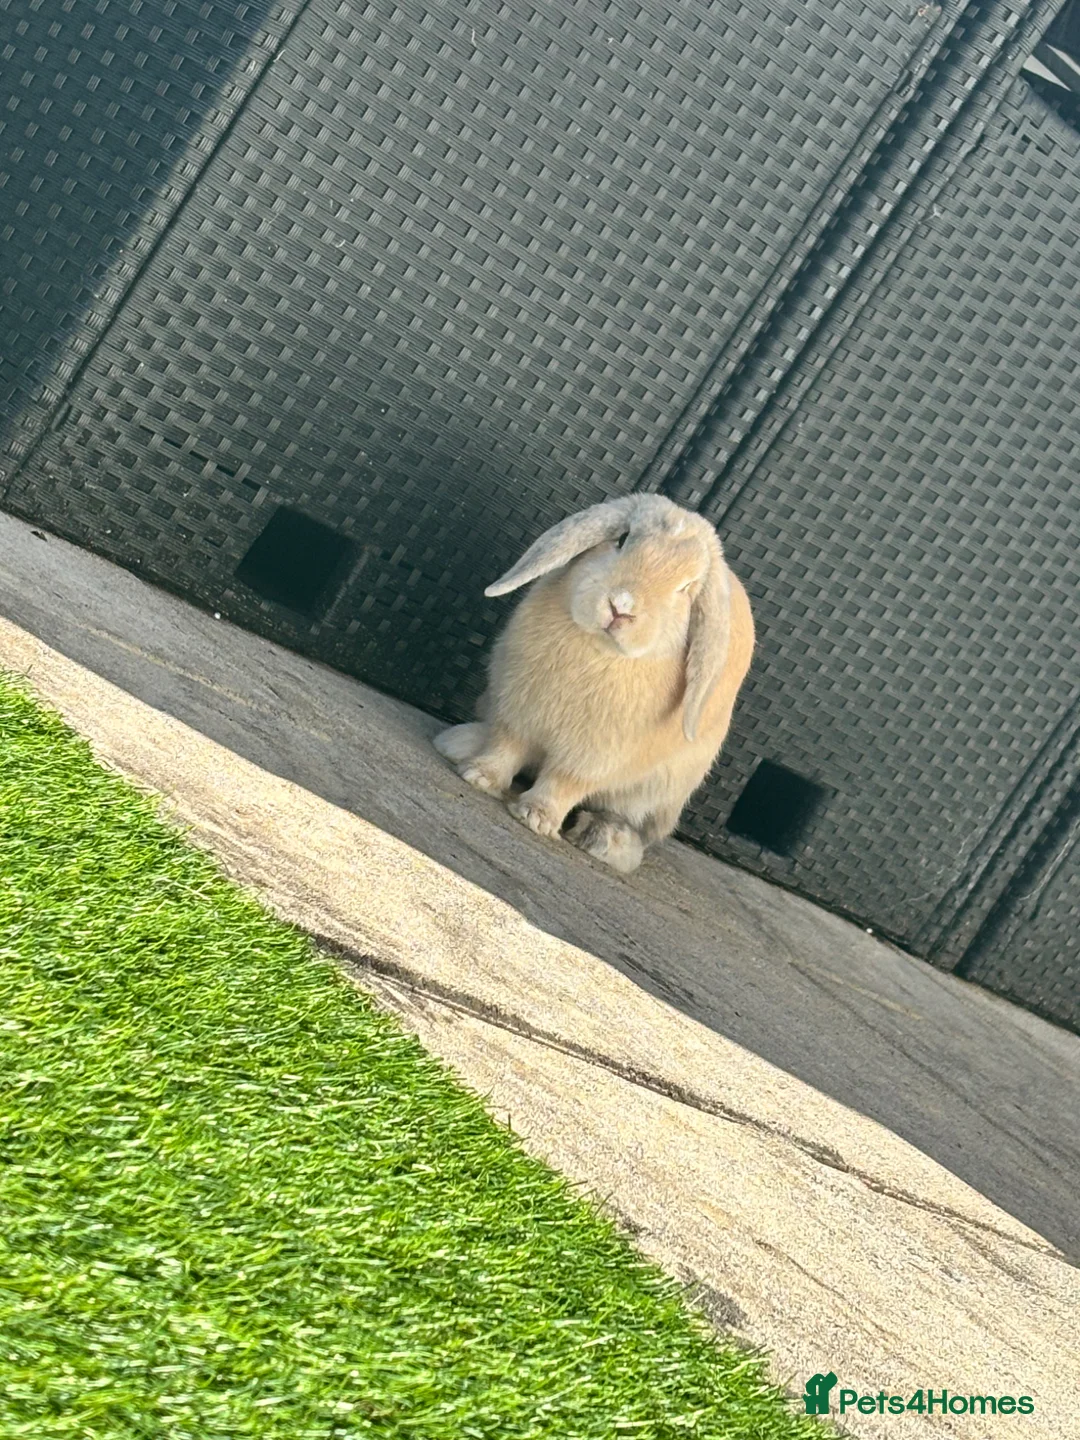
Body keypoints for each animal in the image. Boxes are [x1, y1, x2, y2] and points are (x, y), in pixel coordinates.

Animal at [434, 493, 754, 873]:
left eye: (686, 589)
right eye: (623, 538)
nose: (621, 607)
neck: (598, 651)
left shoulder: (592, 756)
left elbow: (565, 783)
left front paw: (535, 817)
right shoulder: (516, 712)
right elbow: (506, 746)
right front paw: (479, 776)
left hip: (657, 792)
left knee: (625, 817)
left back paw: (605, 839)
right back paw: (459, 743)